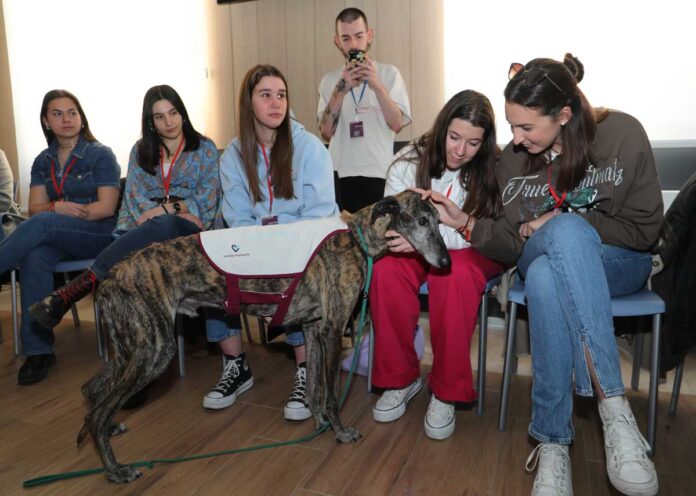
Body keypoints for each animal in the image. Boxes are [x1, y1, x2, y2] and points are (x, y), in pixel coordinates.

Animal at [76, 190, 452, 480]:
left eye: (439, 220)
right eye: (422, 221)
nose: (447, 264)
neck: (355, 237)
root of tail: (110, 276)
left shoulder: (314, 329)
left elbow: (314, 388)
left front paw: (319, 422)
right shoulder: (331, 330)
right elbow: (331, 391)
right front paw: (340, 431)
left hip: (132, 348)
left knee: (92, 389)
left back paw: (108, 433)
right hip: (154, 351)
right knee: (98, 409)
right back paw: (115, 469)